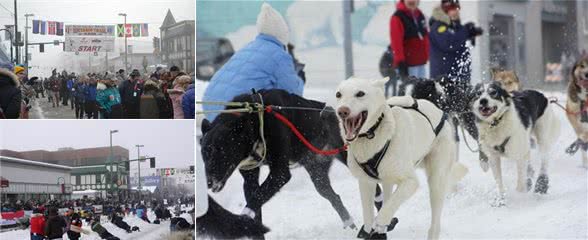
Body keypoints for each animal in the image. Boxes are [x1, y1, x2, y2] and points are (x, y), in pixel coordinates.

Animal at [202, 88, 356, 229]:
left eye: (221, 151)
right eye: (203, 154)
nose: (208, 182)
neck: (256, 122)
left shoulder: (279, 173)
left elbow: (255, 200)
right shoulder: (250, 178)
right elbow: (255, 201)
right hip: (318, 176)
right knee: (333, 197)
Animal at [336, 77, 468, 240]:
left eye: (360, 93)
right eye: (338, 94)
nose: (342, 111)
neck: (373, 134)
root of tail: (435, 108)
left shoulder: (410, 182)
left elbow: (387, 208)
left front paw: (380, 222)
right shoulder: (366, 183)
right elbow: (369, 216)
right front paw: (371, 230)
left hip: (436, 181)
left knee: (435, 225)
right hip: (388, 178)